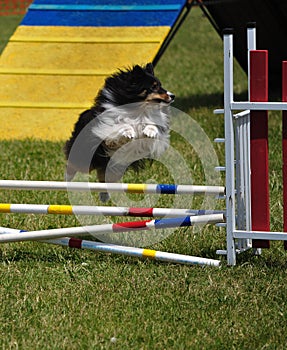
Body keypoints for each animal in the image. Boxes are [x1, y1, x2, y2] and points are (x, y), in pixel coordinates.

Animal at [63, 61, 174, 201]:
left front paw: (149, 131)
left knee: (103, 179)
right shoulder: (107, 128)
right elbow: (119, 126)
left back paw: (104, 196)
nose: (173, 96)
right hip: (86, 155)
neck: (139, 109)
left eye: (160, 85)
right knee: (74, 165)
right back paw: (66, 180)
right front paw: (129, 132)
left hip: (113, 166)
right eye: (154, 87)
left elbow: (152, 127)